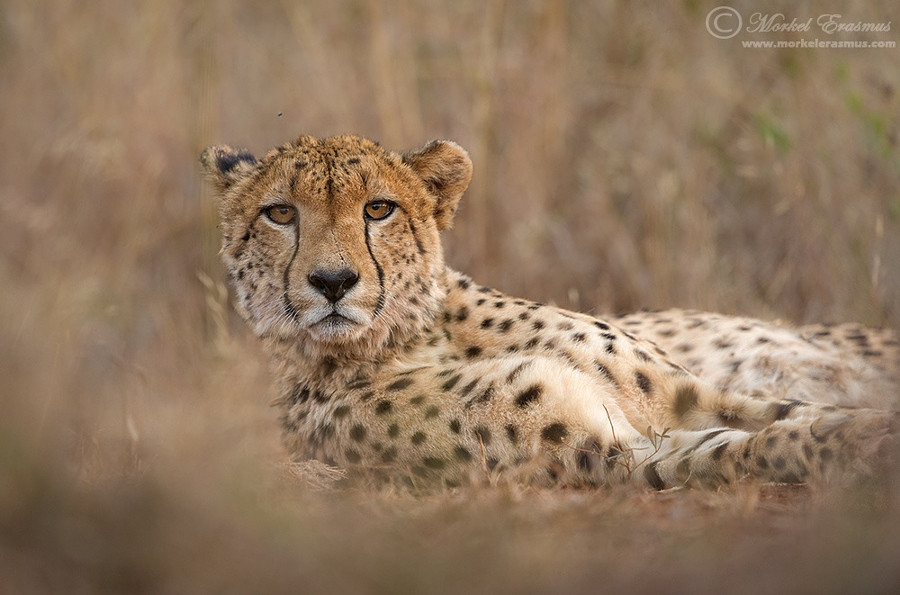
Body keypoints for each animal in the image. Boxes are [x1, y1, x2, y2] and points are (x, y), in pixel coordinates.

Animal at [200, 137, 896, 492]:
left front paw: (861, 427)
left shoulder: (694, 396)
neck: (413, 336)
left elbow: (797, 413)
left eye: (379, 209)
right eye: (280, 213)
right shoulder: (616, 456)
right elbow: (750, 449)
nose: (332, 282)